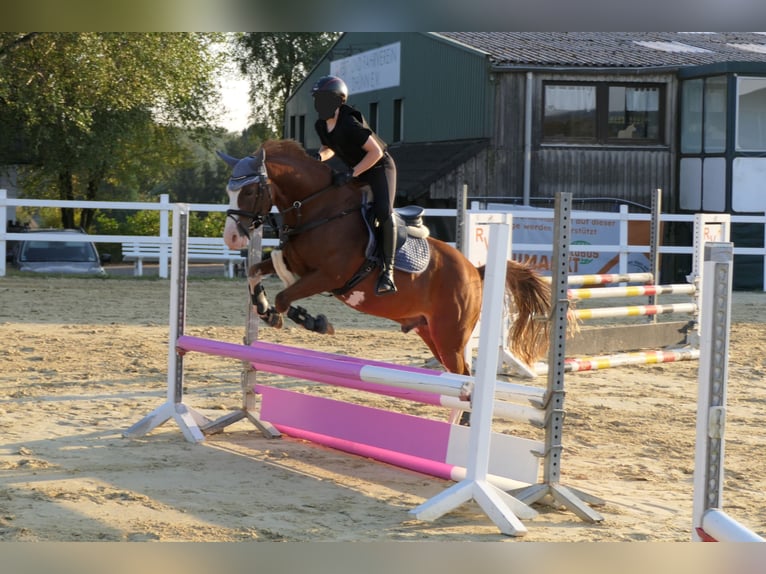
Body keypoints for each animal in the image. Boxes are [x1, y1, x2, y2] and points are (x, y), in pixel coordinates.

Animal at [220, 141, 552, 378]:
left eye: (249, 190)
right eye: (229, 191)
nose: (232, 238)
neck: (318, 211)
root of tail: (475, 270)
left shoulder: (329, 276)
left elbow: (285, 296)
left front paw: (311, 321)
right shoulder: (297, 265)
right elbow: (255, 272)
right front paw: (265, 310)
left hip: (451, 335)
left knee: (463, 376)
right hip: (430, 331)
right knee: (458, 372)